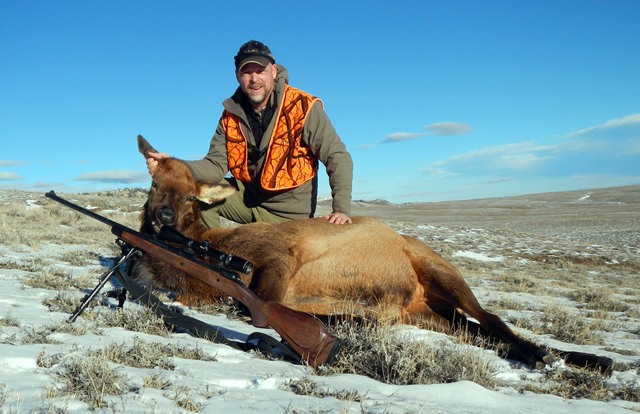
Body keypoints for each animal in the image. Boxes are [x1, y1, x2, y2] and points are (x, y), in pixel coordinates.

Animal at [133, 135, 613, 372]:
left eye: (189, 195)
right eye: (154, 183)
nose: (162, 216)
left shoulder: (278, 257)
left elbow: (260, 308)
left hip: (439, 268)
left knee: (493, 319)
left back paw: (567, 357)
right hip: (428, 313)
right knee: (476, 331)